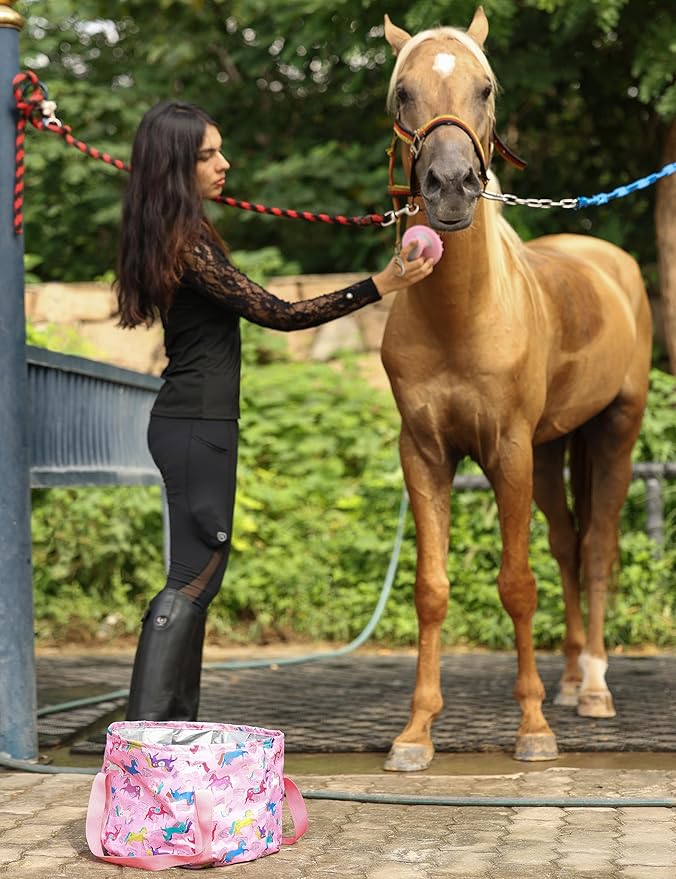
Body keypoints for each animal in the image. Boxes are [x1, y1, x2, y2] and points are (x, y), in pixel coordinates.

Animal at [380, 7, 652, 770]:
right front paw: (416, 732)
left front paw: (533, 728)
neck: (462, 314)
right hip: (557, 446)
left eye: (487, 87)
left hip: (615, 432)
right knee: (567, 543)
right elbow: (432, 588)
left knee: (596, 548)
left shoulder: (508, 451)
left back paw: (593, 687)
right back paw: (570, 679)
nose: (449, 185)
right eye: (403, 91)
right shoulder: (426, 453)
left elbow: (516, 583)